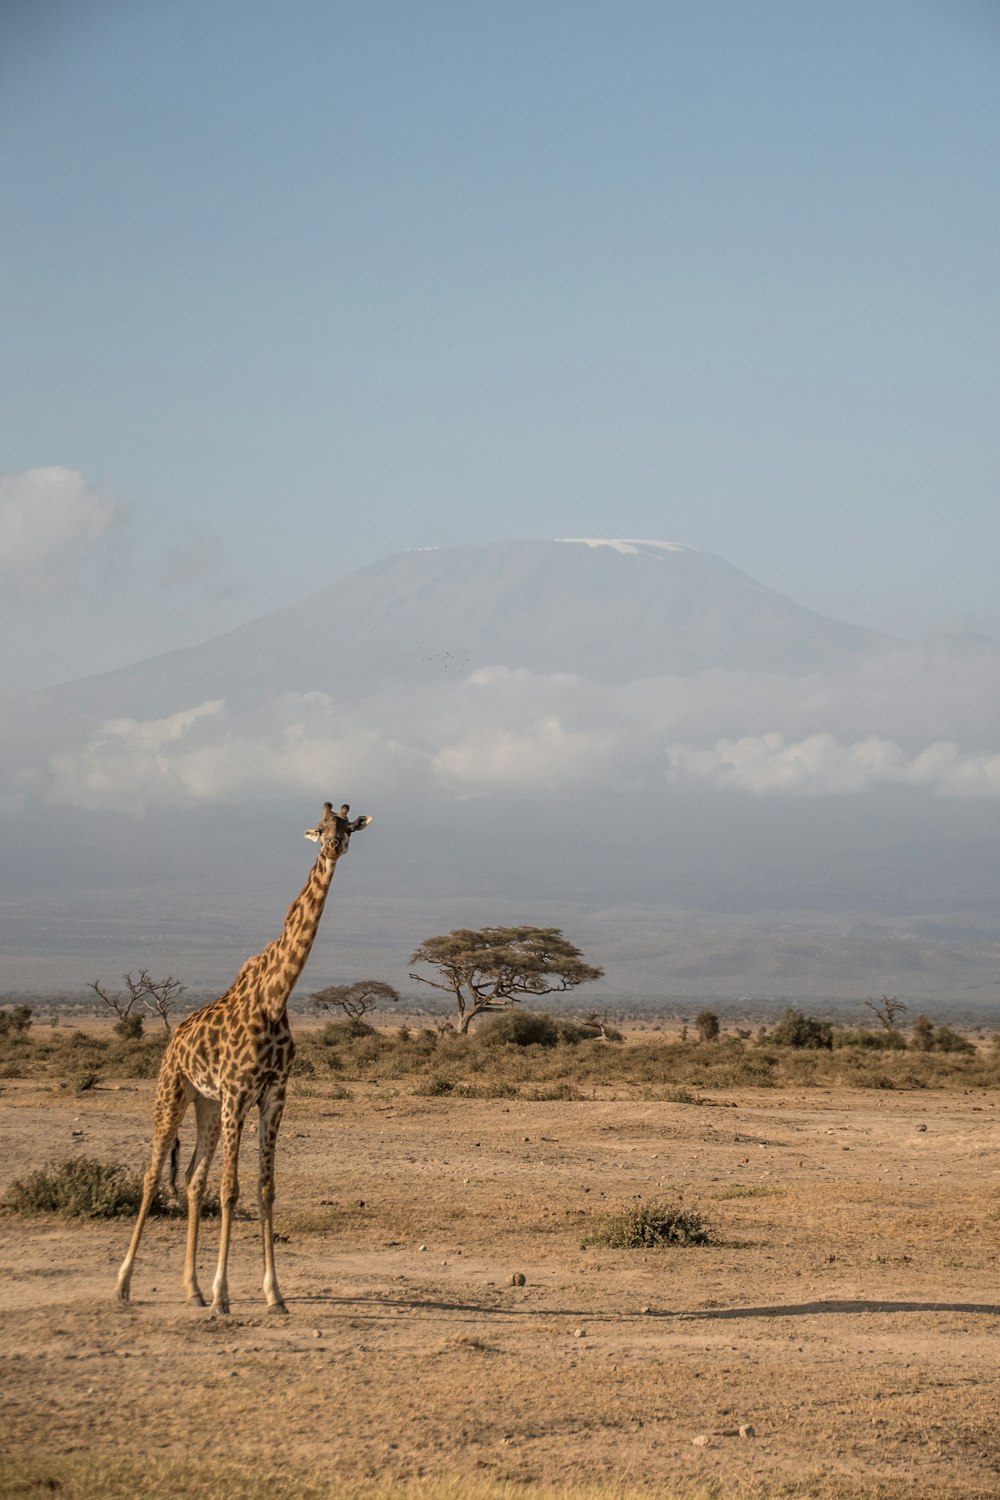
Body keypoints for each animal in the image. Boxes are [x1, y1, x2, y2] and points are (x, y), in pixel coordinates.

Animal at [114, 798, 371, 1314]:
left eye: (349, 827)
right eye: (321, 828)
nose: (335, 846)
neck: (275, 996)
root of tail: (173, 1040)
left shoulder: (273, 1094)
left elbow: (264, 1188)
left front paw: (274, 1294)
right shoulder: (238, 1092)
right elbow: (230, 1189)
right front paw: (224, 1294)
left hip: (207, 1106)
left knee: (193, 1178)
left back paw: (190, 1288)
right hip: (173, 1094)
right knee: (152, 1175)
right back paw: (125, 1284)